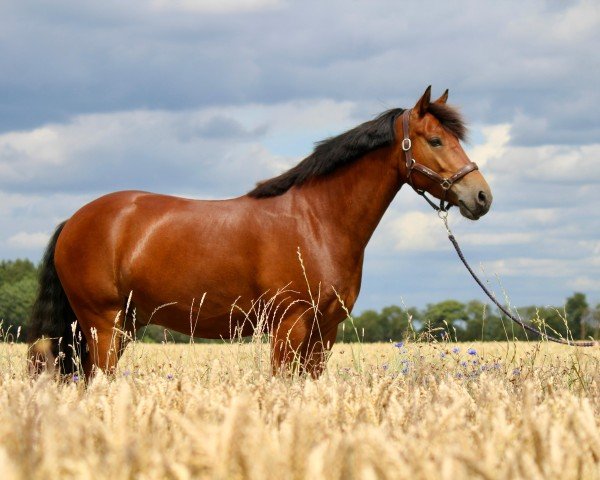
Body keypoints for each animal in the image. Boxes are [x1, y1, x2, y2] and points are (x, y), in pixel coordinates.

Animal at [27, 86, 492, 378]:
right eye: (435, 140)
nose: (481, 196)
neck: (317, 220)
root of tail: (75, 221)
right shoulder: (290, 325)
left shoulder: (324, 331)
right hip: (102, 325)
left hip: (121, 325)